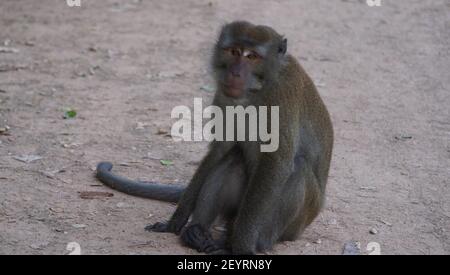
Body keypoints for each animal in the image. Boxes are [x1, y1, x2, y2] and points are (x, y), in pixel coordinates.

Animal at [96, 20, 332, 256]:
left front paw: (242, 246)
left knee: (298, 168)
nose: (235, 73)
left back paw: (245, 242)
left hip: (296, 223)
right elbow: (219, 150)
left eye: (252, 56)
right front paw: (176, 221)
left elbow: (276, 163)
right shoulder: (223, 94)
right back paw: (196, 232)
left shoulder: (282, 96)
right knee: (232, 159)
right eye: (234, 52)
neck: (255, 91)